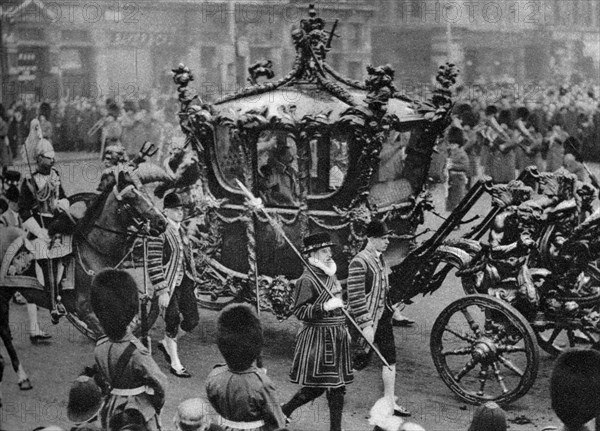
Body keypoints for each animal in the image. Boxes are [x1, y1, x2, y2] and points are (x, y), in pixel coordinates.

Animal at [0, 163, 169, 394]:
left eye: (145, 191)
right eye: (131, 197)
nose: (162, 222)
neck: (95, 250)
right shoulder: (86, 311)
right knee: (5, 332)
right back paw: (22, 376)